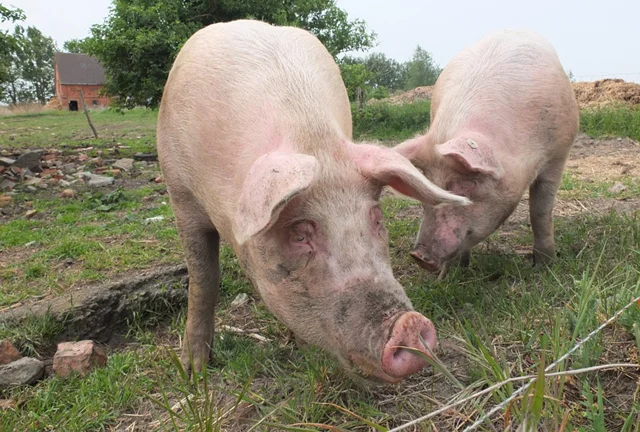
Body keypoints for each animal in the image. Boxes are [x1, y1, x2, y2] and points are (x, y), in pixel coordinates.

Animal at [157, 20, 470, 383]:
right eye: (299, 234)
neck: (310, 139)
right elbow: (204, 280)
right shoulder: (181, 195)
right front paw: (193, 373)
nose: (409, 325)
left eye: (377, 218)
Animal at [395, 30, 579, 274]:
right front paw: (458, 272)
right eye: (429, 184)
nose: (419, 255)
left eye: (468, 183)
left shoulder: (558, 153)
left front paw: (545, 266)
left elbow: (540, 211)